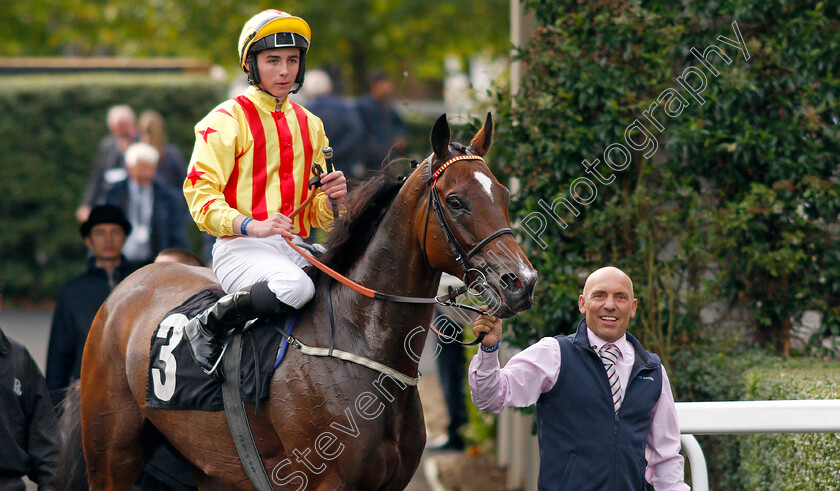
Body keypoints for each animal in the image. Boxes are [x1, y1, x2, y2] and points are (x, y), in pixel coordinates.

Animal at [70, 112, 532, 491]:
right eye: (456, 201)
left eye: (504, 195)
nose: (521, 283)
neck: (358, 343)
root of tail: (128, 285)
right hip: (111, 456)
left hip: (210, 469)